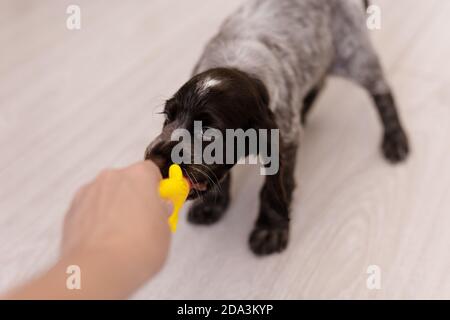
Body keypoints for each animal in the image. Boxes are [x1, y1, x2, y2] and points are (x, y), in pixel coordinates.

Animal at [146, 0, 410, 255]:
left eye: (210, 131)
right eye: (168, 117)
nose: (154, 160)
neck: (242, 68)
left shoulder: (284, 139)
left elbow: (274, 188)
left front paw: (270, 230)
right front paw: (212, 205)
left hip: (355, 54)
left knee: (382, 91)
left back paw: (395, 139)